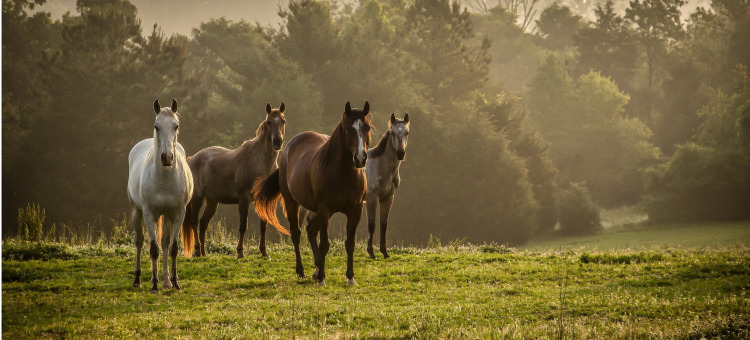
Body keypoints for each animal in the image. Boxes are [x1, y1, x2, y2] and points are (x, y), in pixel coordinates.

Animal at [129, 98, 194, 292]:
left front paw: (175, 282)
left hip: (166, 216)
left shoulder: (178, 213)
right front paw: (154, 284)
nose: (167, 157)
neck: (164, 179)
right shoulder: (149, 213)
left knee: (164, 243)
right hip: (137, 212)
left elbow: (172, 248)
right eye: (156, 126)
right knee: (140, 241)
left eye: (176, 125)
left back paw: (166, 281)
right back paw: (138, 279)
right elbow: (153, 249)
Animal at [182, 103, 290, 258]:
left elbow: (263, 226)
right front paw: (240, 253)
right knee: (194, 222)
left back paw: (203, 252)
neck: (259, 163)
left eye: (283, 121)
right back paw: (197, 251)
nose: (277, 142)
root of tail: (192, 159)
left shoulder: (262, 199)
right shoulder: (244, 199)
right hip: (197, 198)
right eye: (269, 122)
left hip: (212, 201)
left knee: (203, 223)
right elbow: (243, 226)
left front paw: (264, 253)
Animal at [256, 101, 374, 286]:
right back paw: (302, 271)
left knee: (311, 231)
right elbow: (325, 244)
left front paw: (350, 277)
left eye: (367, 127)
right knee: (296, 234)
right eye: (349, 128)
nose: (360, 158)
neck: (343, 174)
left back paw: (317, 268)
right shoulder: (325, 210)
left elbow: (350, 243)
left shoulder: (355, 211)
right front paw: (322, 279)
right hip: (293, 203)